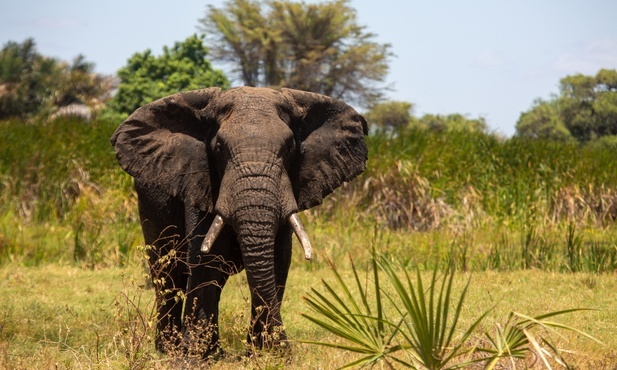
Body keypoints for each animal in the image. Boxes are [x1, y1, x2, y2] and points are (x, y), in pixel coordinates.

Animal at [109, 85, 366, 356]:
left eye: (289, 148)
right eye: (219, 148)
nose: (287, 349)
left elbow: (278, 259)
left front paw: (264, 353)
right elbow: (205, 258)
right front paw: (196, 356)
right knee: (167, 271)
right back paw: (169, 349)